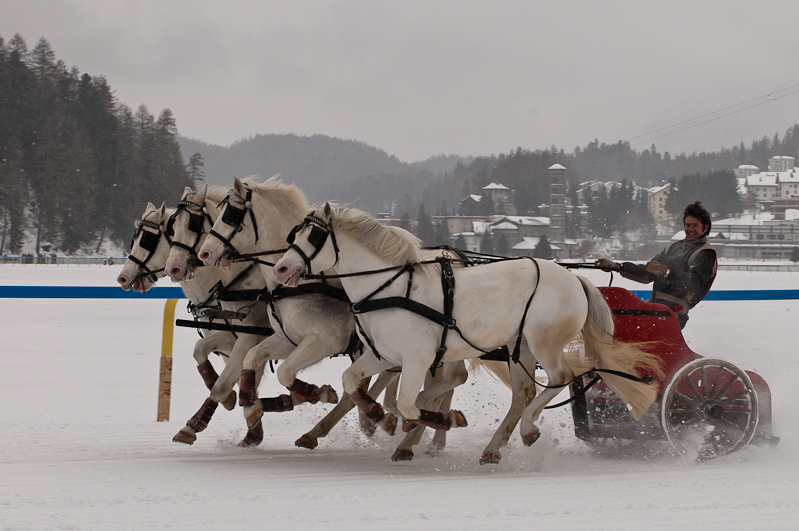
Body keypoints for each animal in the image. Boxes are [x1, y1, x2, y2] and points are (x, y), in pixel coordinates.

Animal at [276, 204, 664, 462]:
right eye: (293, 233)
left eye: (314, 235)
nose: (280, 268)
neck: (390, 288)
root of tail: (573, 277)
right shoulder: (382, 354)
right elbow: (353, 382)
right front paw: (379, 418)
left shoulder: (416, 359)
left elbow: (409, 403)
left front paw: (438, 421)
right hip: (519, 348)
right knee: (524, 392)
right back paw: (495, 446)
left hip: (544, 343)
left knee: (560, 378)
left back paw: (527, 428)